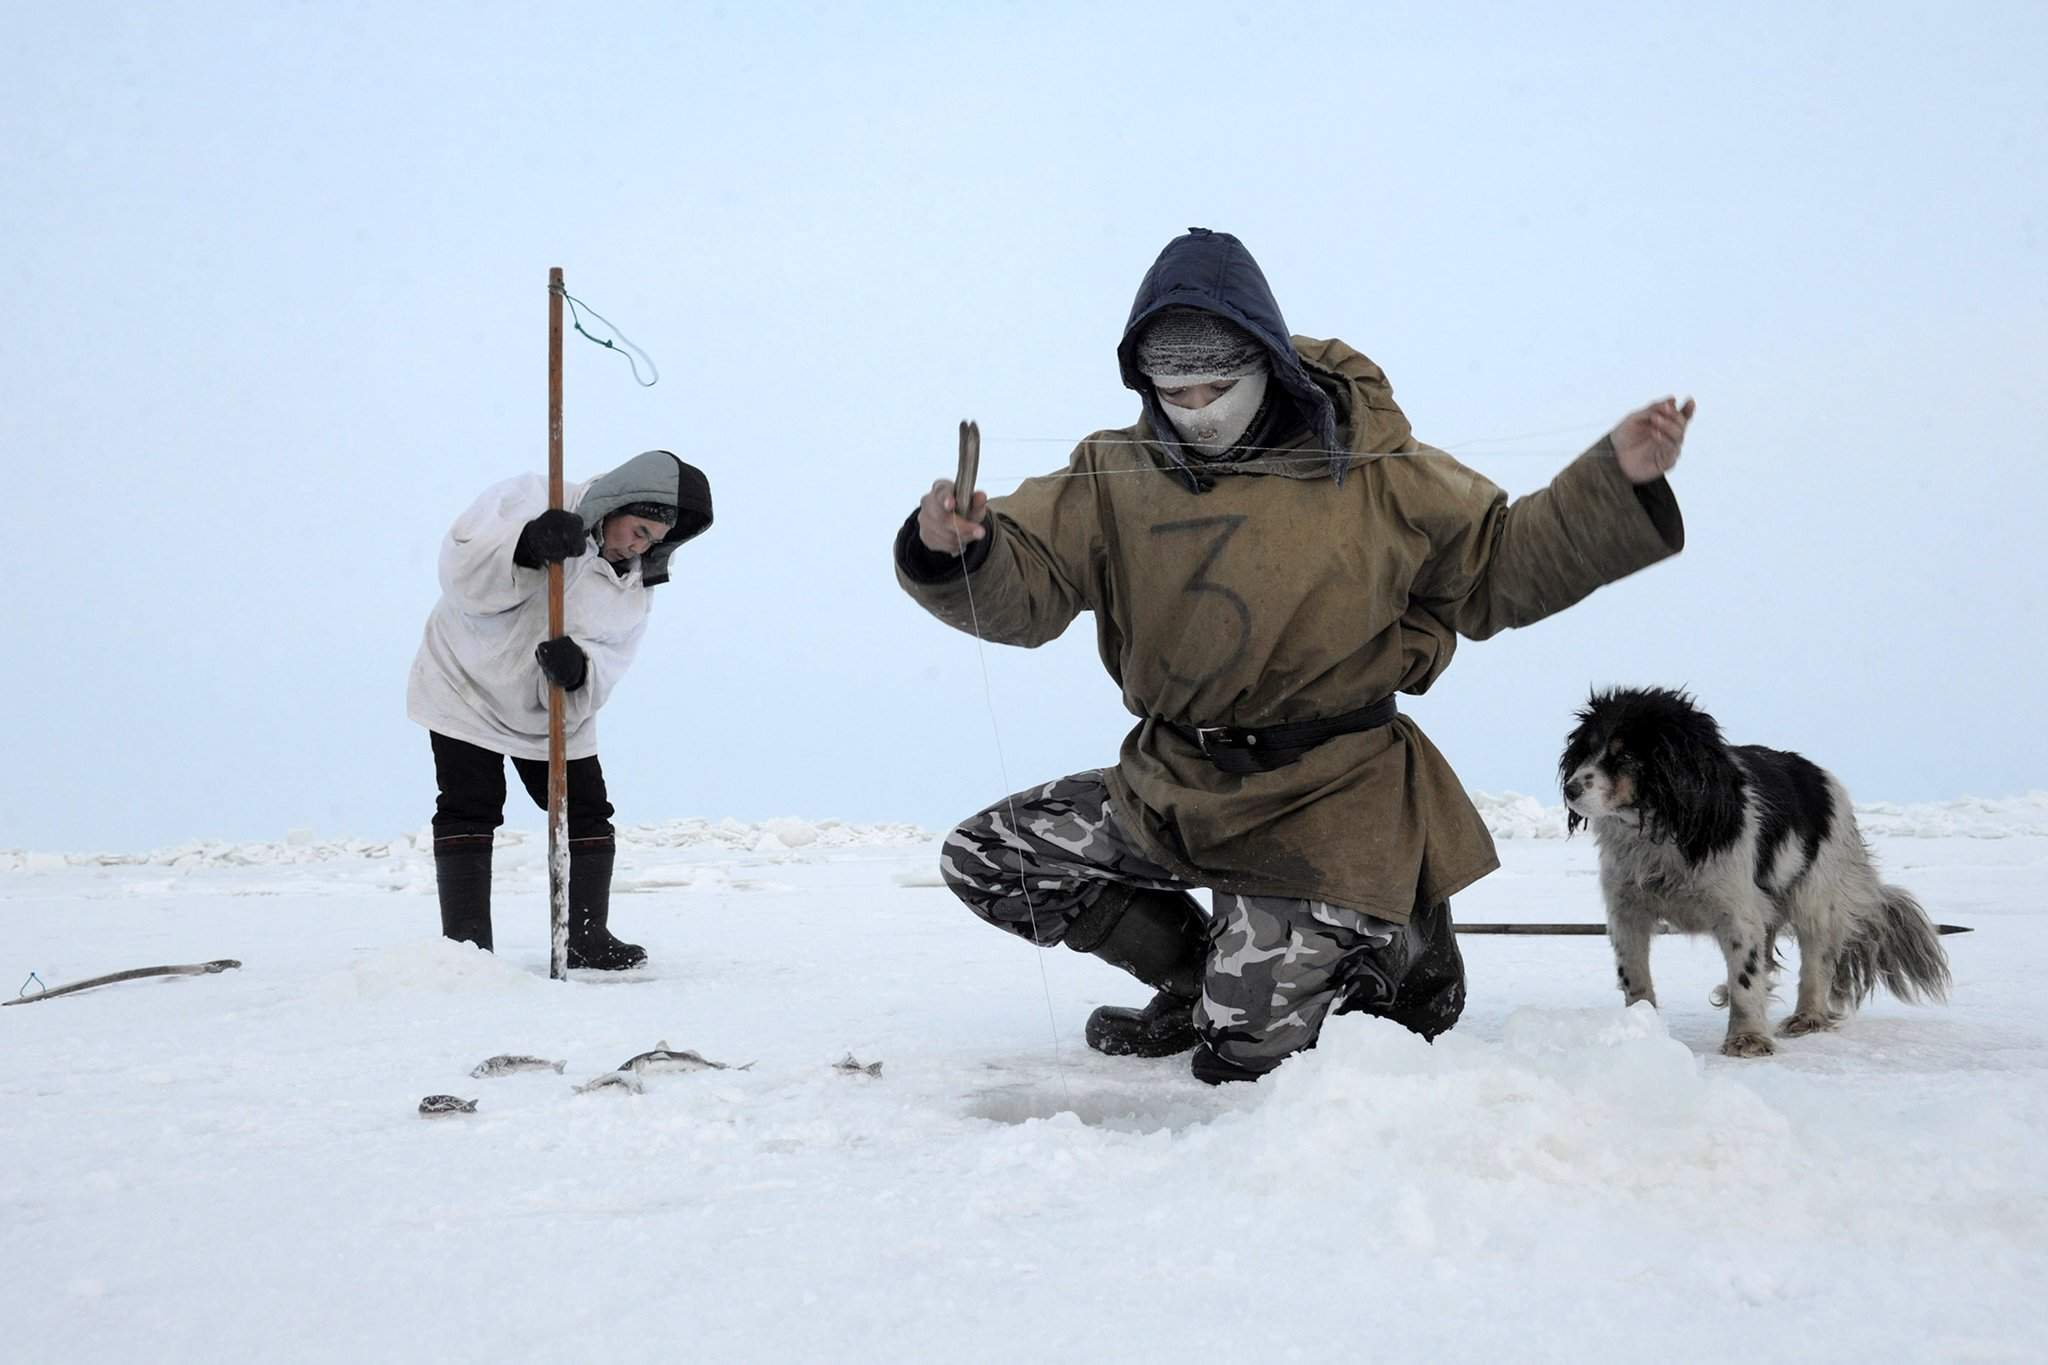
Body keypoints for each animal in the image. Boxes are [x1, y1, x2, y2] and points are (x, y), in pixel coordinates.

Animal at [1556, 687, 1941, 1064]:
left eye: (1625, 756)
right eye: (1586, 750)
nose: (1570, 789)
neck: (1660, 828)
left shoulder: (1738, 911)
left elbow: (1747, 975)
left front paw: (1748, 1039)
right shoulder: (1627, 909)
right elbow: (1634, 975)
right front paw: (1643, 1029)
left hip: (1816, 895)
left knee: (1816, 962)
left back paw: (1808, 1017)